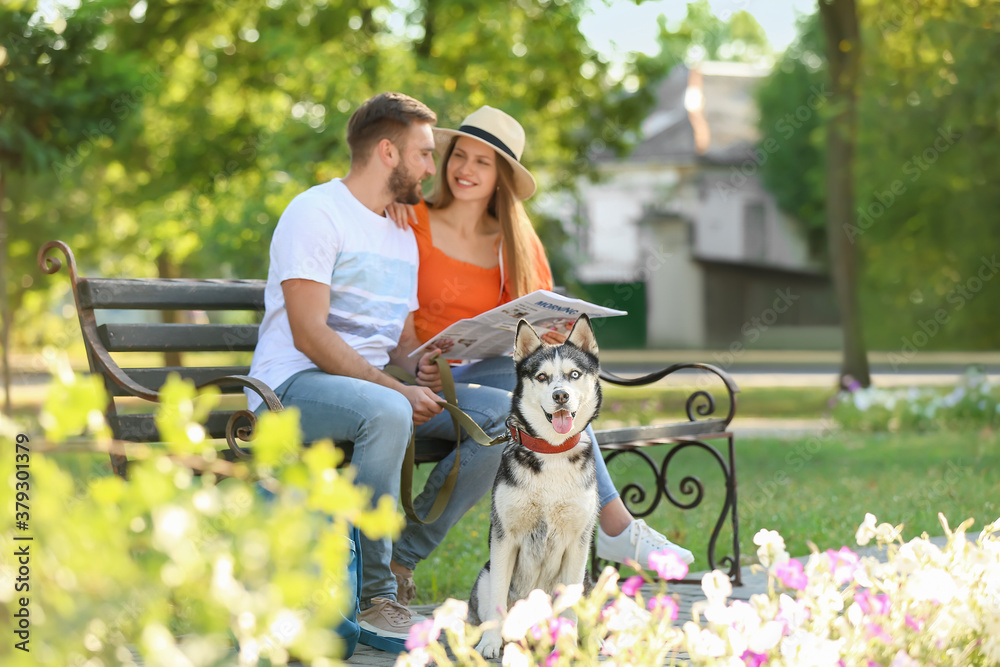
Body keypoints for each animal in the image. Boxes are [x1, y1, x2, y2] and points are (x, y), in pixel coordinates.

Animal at [470, 316, 600, 660]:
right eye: (542, 377)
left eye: (574, 374)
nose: (560, 395)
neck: (551, 451)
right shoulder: (504, 538)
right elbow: (499, 600)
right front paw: (491, 643)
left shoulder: (578, 542)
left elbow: (570, 606)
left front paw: (567, 646)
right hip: (484, 575)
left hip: (590, 581)